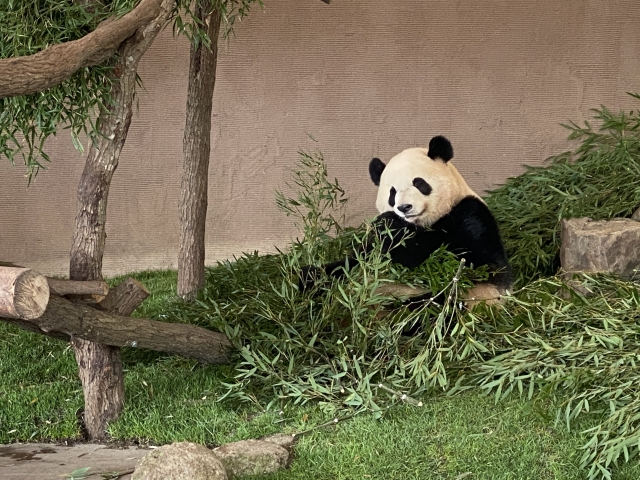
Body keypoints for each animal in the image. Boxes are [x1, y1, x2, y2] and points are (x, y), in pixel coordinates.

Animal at [298, 135, 512, 308]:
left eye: (419, 183)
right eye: (392, 193)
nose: (404, 207)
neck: (421, 224)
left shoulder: (470, 216)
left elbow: (463, 261)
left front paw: (390, 224)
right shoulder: (370, 250)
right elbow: (362, 257)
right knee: (324, 274)